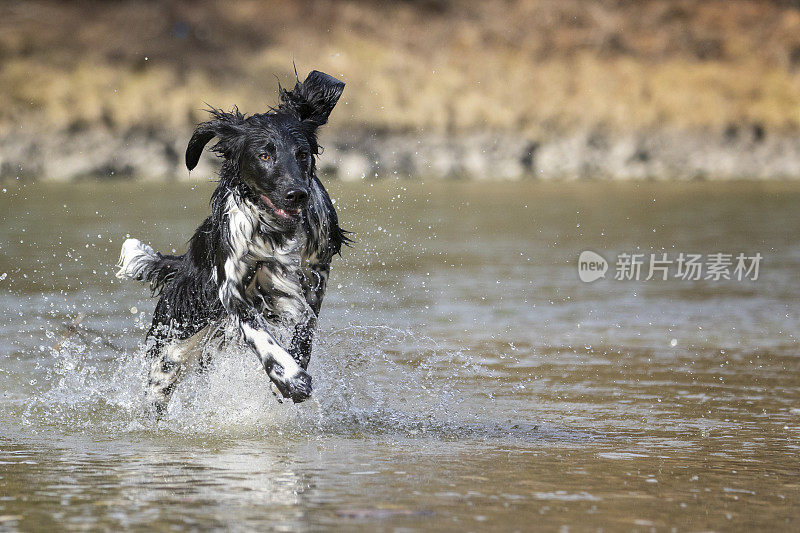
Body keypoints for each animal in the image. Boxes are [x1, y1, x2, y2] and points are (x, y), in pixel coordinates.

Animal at [117, 69, 348, 416]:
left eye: (302, 153)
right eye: (264, 154)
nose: (296, 194)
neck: (276, 231)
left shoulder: (315, 274)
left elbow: (307, 324)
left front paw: (293, 367)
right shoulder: (232, 291)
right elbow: (260, 335)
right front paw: (290, 378)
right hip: (171, 347)